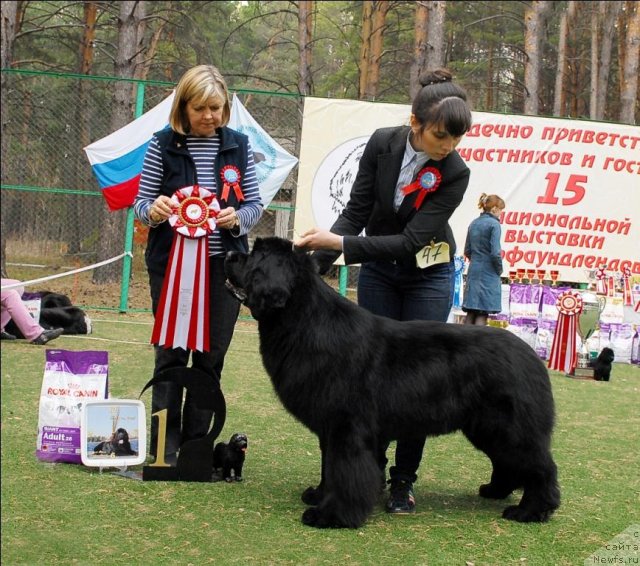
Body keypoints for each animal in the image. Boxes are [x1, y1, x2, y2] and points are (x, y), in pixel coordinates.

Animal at [224, 237, 560, 532]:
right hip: (486, 427)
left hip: (508, 426)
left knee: (540, 466)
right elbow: (328, 467)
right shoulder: (330, 429)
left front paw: (332, 515)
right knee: (509, 462)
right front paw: (318, 495)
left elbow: (345, 471)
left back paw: (531, 510)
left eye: (255, 256)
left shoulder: (348, 428)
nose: (228, 255)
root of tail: (532, 356)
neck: (304, 321)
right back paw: (494, 490)